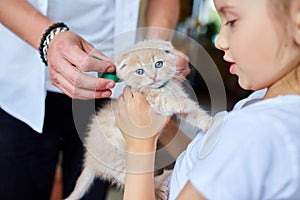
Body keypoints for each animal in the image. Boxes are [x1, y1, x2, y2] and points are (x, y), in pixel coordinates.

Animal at [65, 39, 212, 199]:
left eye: (158, 64)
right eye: (140, 72)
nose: (153, 77)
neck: (163, 87)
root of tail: (90, 160)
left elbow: (195, 114)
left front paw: (212, 124)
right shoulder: (152, 99)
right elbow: (166, 99)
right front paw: (184, 103)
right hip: (117, 161)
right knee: (129, 177)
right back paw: (159, 186)